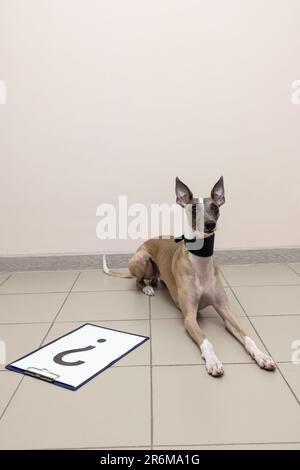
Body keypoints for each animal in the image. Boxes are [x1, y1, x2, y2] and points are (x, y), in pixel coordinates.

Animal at [103, 177, 276, 378]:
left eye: (215, 206)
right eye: (193, 209)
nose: (209, 224)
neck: (201, 263)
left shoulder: (225, 310)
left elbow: (246, 335)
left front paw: (261, 355)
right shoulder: (189, 317)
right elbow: (206, 340)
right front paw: (213, 361)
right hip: (141, 258)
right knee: (137, 281)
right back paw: (147, 287)